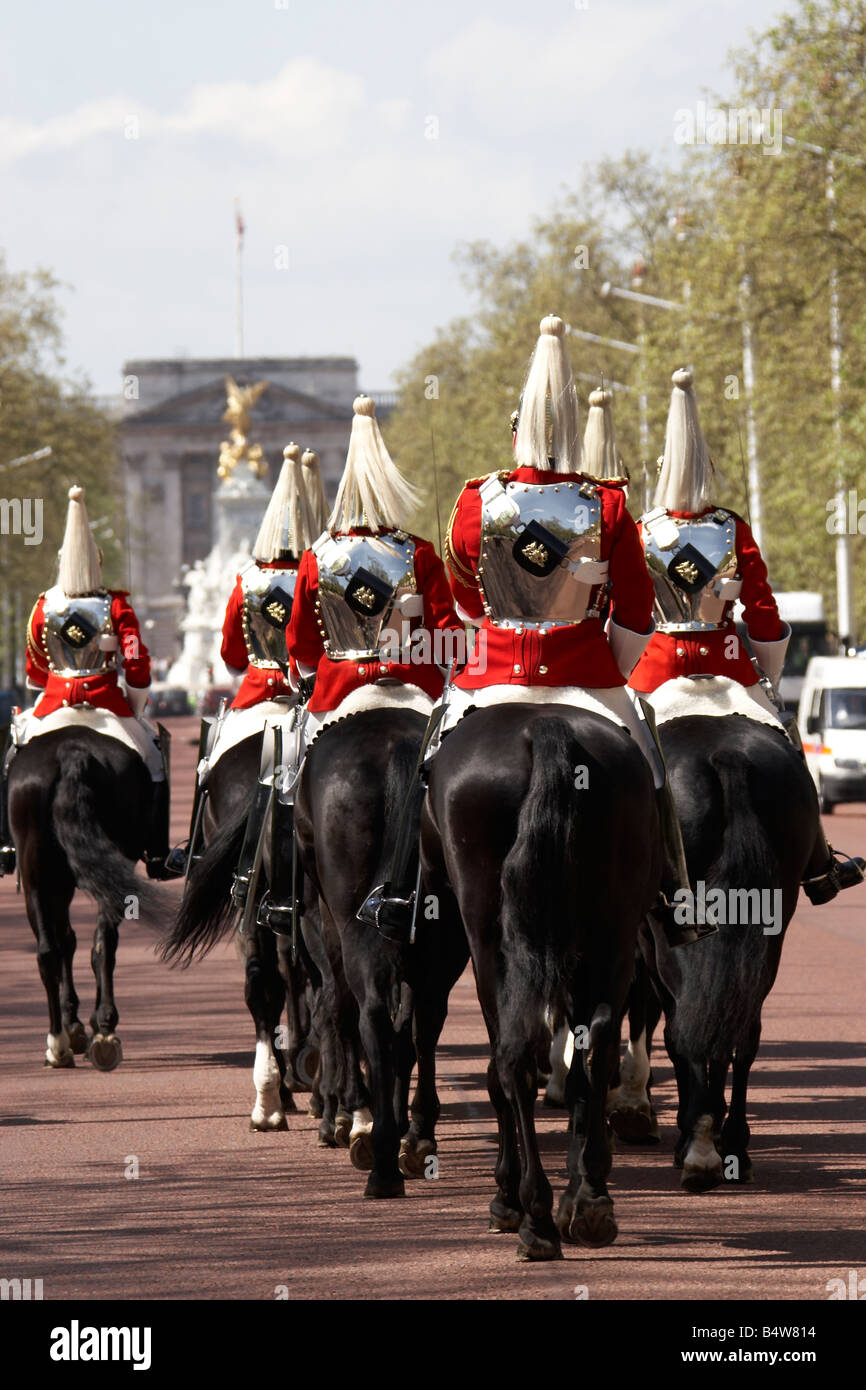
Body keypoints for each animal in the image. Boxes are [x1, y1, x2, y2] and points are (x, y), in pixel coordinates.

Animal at [8, 722, 166, 1067]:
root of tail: (72, 750)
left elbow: (65, 942)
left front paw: (74, 1025)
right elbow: (73, 942)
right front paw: (83, 1025)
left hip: (37, 880)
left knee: (53, 951)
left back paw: (60, 1043)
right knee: (97, 944)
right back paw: (101, 1031)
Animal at [296, 711, 475, 1200]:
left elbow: (336, 1014)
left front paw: (345, 1116)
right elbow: (408, 1035)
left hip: (351, 933)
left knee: (368, 1017)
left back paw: (373, 1151)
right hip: (444, 945)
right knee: (421, 1024)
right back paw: (413, 1140)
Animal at [422, 706, 661, 1262]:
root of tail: (545, 727)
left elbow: (500, 1071)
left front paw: (509, 1196)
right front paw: (581, 1187)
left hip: (489, 934)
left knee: (514, 1058)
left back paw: (533, 1213)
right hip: (612, 928)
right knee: (598, 1041)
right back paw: (590, 1200)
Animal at [631, 717, 817, 1195]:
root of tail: (725, 754)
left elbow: (677, 1034)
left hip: (673, 935)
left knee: (686, 1029)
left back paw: (698, 1149)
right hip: (770, 928)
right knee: (745, 1031)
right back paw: (732, 1145)